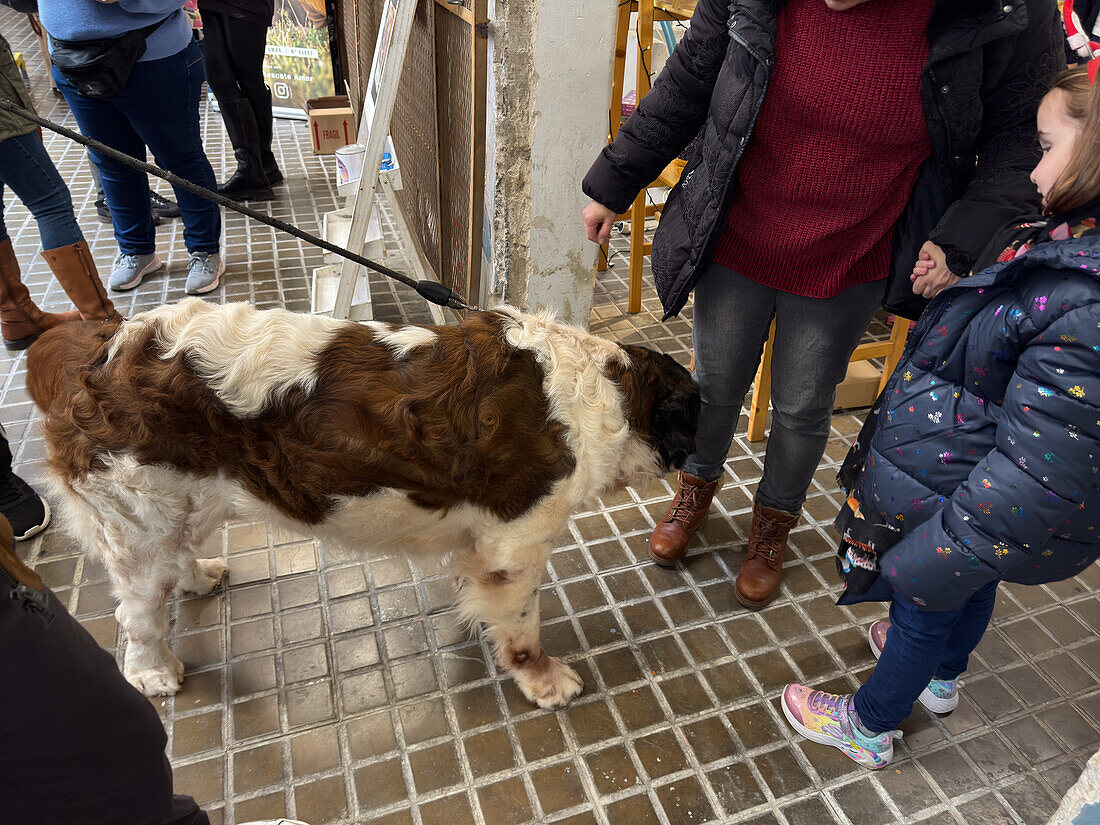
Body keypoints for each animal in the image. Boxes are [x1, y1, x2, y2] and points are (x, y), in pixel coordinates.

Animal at [30, 301, 699, 712]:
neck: (605, 392)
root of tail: (104, 348)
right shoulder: (516, 548)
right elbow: (523, 627)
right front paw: (542, 680)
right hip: (137, 524)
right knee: (139, 611)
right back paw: (153, 669)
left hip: (181, 501)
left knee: (179, 553)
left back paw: (197, 575)